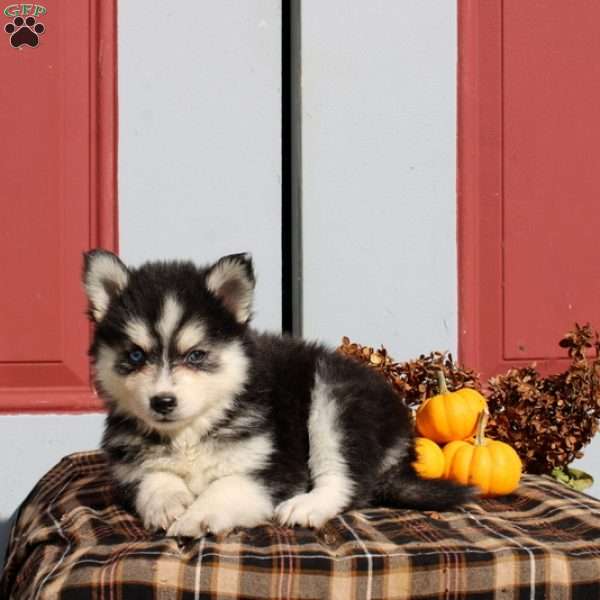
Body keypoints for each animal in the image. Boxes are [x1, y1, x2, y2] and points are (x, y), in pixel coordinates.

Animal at [83, 250, 474, 540]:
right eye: (136, 356)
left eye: (195, 355)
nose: (162, 402)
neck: (191, 433)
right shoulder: (128, 466)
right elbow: (152, 477)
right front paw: (169, 501)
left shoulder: (277, 468)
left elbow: (227, 486)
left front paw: (199, 514)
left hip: (334, 399)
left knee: (346, 481)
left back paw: (307, 506)